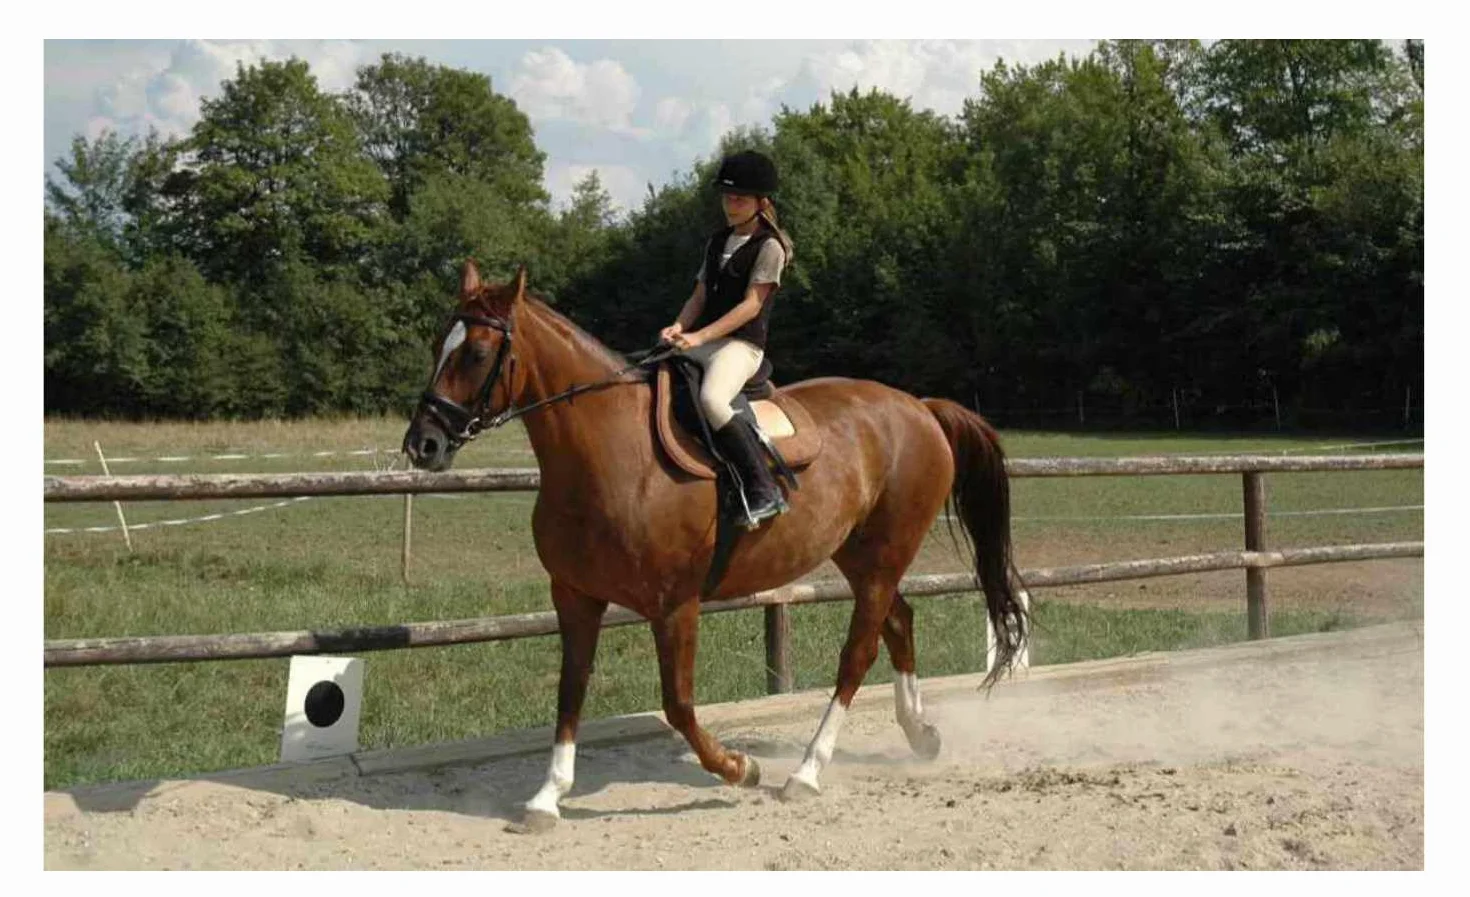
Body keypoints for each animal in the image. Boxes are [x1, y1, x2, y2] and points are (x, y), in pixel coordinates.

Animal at [402, 260, 1028, 831]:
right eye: (438, 345)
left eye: (476, 354)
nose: (422, 444)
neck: (613, 454)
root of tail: (919, 407)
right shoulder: (575, 597)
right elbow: (570, 689)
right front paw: (545, 798)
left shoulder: (675, 605)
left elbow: (678, 704)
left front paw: (739, 768)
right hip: (861, 556)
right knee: (899, 622)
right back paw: (921, 735)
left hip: (882, 557)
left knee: (859, 651)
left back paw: (806, 772)